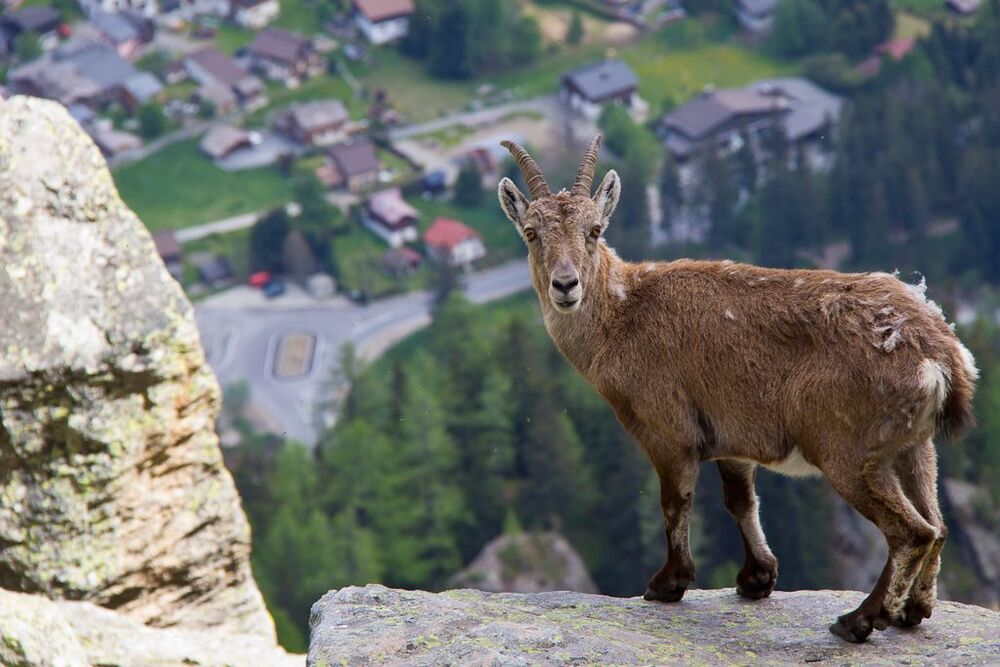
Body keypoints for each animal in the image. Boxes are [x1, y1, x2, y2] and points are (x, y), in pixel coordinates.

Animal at [497, 135, 979, 643]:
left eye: (593, 229)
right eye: (531, 232)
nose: (565, 285)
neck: (623, 315)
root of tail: (942, 357)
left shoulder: (669, 432)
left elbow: (675, 502)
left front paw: (667, 583)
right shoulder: (732, 437)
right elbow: (740, 501)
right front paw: (756, 579)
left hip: (849, 452)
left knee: (911, 532)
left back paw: (860, 620)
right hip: (913, 446)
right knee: (937, 525)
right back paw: (912, 610)